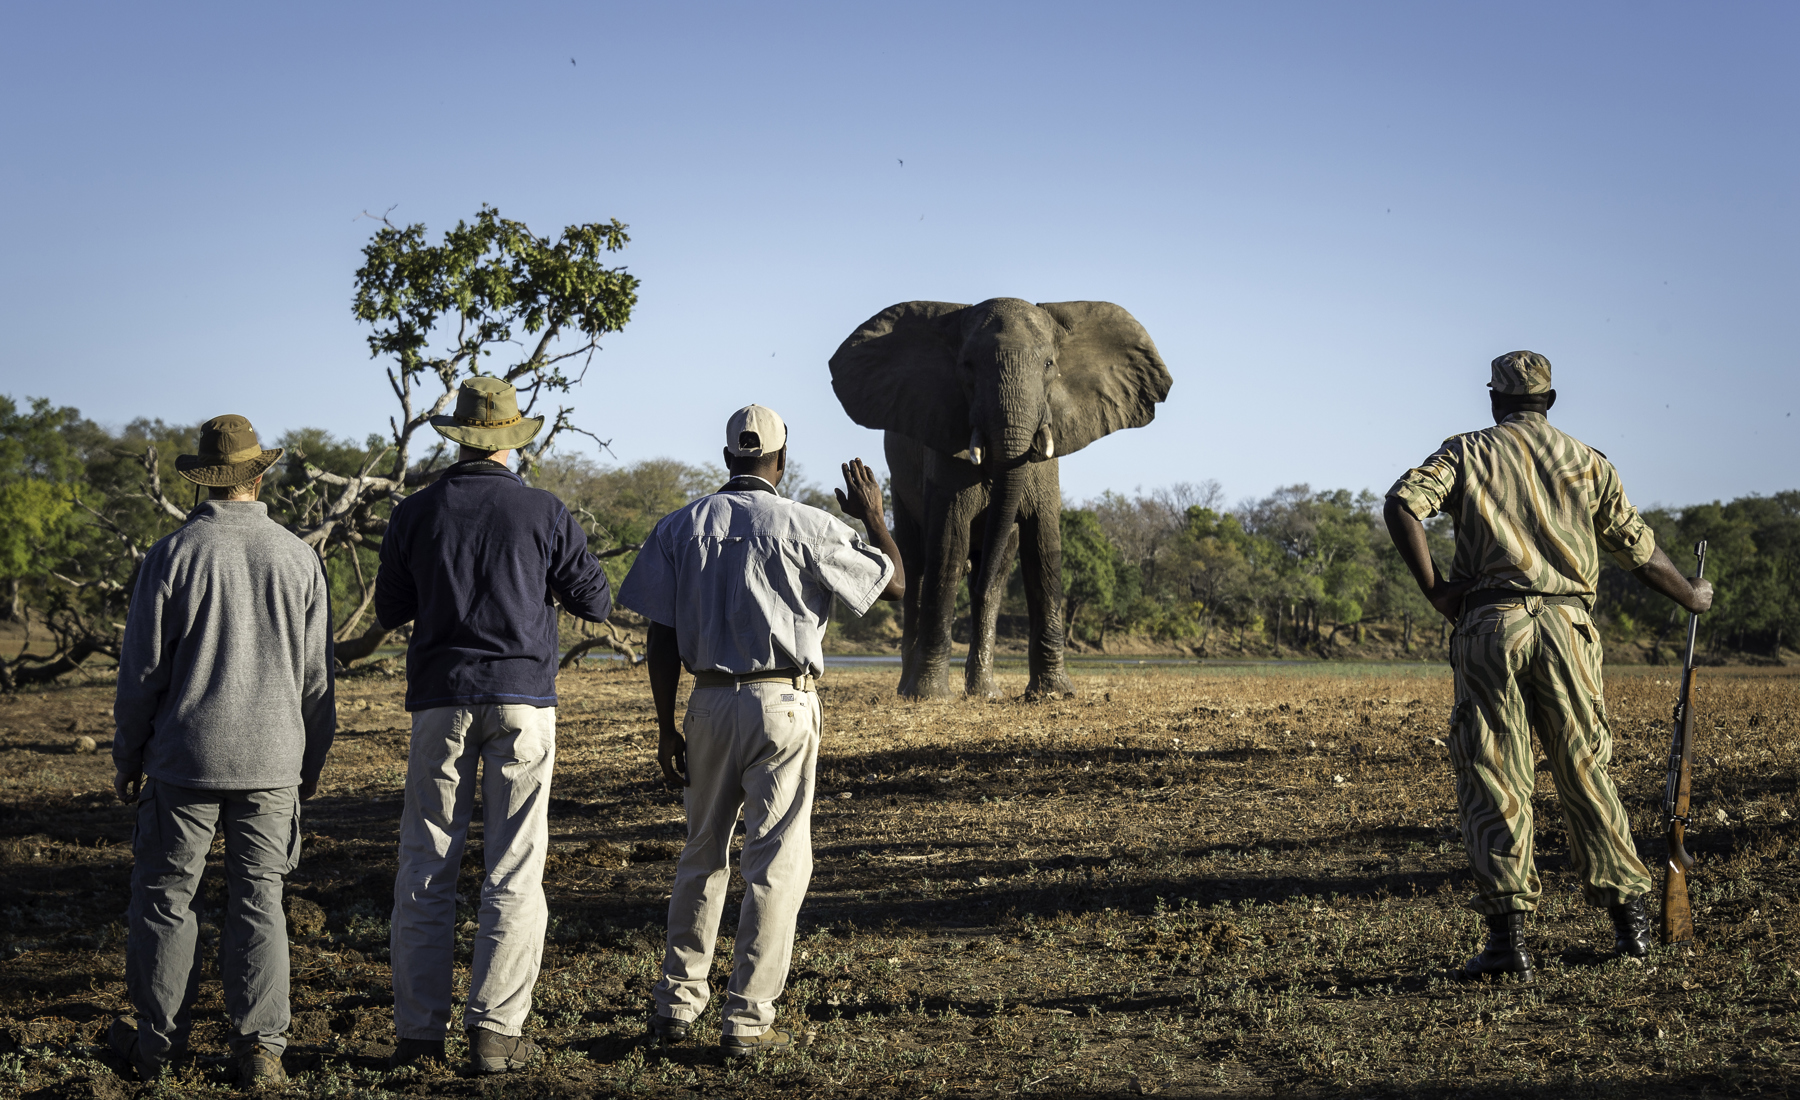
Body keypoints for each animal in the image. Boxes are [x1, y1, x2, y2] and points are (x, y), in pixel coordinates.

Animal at [829, 297, 1171, 699]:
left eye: (1049, 364)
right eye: (967, 366)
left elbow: (1043, 546)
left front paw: (1055, 693)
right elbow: (949, 543)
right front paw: (931, 696)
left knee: (994, 577)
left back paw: (984, 691)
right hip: (899, 483)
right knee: (916, 565)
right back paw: (909, 689)